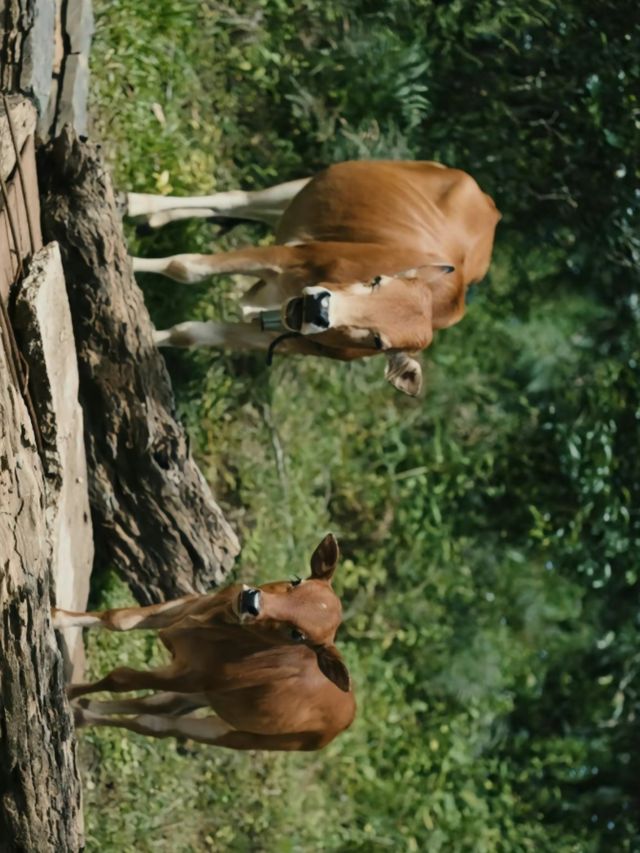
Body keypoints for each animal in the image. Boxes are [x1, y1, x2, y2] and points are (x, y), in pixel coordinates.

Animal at [53, 536, 356, 748]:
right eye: (296, 581)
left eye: (298, 634)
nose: (250, 601)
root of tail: (349, 713)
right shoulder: (188, 605)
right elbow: (117, 619)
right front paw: (56, 617)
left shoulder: (188, 677)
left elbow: (121, 678)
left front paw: (67, 691)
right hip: (204, 696)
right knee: (153, 707)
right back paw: (84, 711)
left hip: (235, 734)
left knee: (155, 724)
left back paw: (81, 713)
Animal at [130, 158, 500, 394]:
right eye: (376, 280)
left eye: (377, 341)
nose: (318, 308)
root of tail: (489, 205)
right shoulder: (288, 255)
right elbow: (186, 266)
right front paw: (128, 259)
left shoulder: (286, 340)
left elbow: (189, 333)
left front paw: (146, 337)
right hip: (301, 186)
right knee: (234, 199)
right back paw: (135, 203)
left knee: (237, 207)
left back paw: (153, 220)